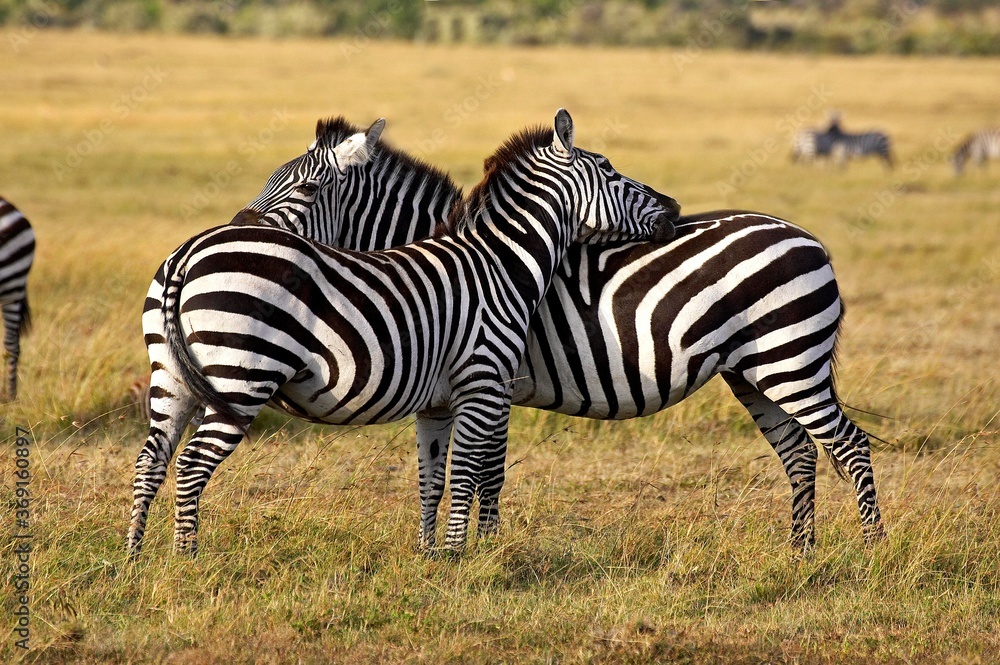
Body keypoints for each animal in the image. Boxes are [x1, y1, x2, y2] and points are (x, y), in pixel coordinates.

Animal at [127, 109, 680, 557]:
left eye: (302, 187)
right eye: (610, 171)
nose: (674, 209)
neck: (499, 264)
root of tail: (186, 254)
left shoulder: (439, 402)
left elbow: (433, 478)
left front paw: (431, 555)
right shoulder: (484, 384)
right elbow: (473, 473)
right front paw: (462, 558)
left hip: (171, 376)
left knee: (151, 458)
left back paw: (135, 559)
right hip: (240, 379)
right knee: (191, 464)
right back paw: (186, 558)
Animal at [216, 116, 887, 552]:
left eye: (302, 188)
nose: (239, 233)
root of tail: (808, 237)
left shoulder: (492, 382)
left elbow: (487, 471)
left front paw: (479, 551)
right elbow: (460, 473)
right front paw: (464, 548)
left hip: (790, 357)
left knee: (849, 446)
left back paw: (870, 552)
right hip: (753, 369)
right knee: (800, 450)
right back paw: (800, 551)